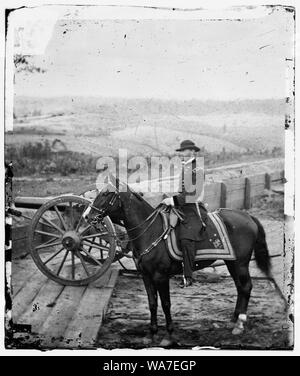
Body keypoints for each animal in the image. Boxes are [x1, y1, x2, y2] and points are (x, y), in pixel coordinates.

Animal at [83, 179, 270, 346]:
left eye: (106, 194)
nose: (87, 216)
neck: (150, 231)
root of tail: (248, 216)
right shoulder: (146, 276)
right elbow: (152, 303)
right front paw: (151, 334)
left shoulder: (160, 276)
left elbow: (166, 304)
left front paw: (168, 335)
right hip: (232, 263)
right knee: (240, 287)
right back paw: (234, 319)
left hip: (240, 263)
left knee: (246, 287)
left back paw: (240, 323)